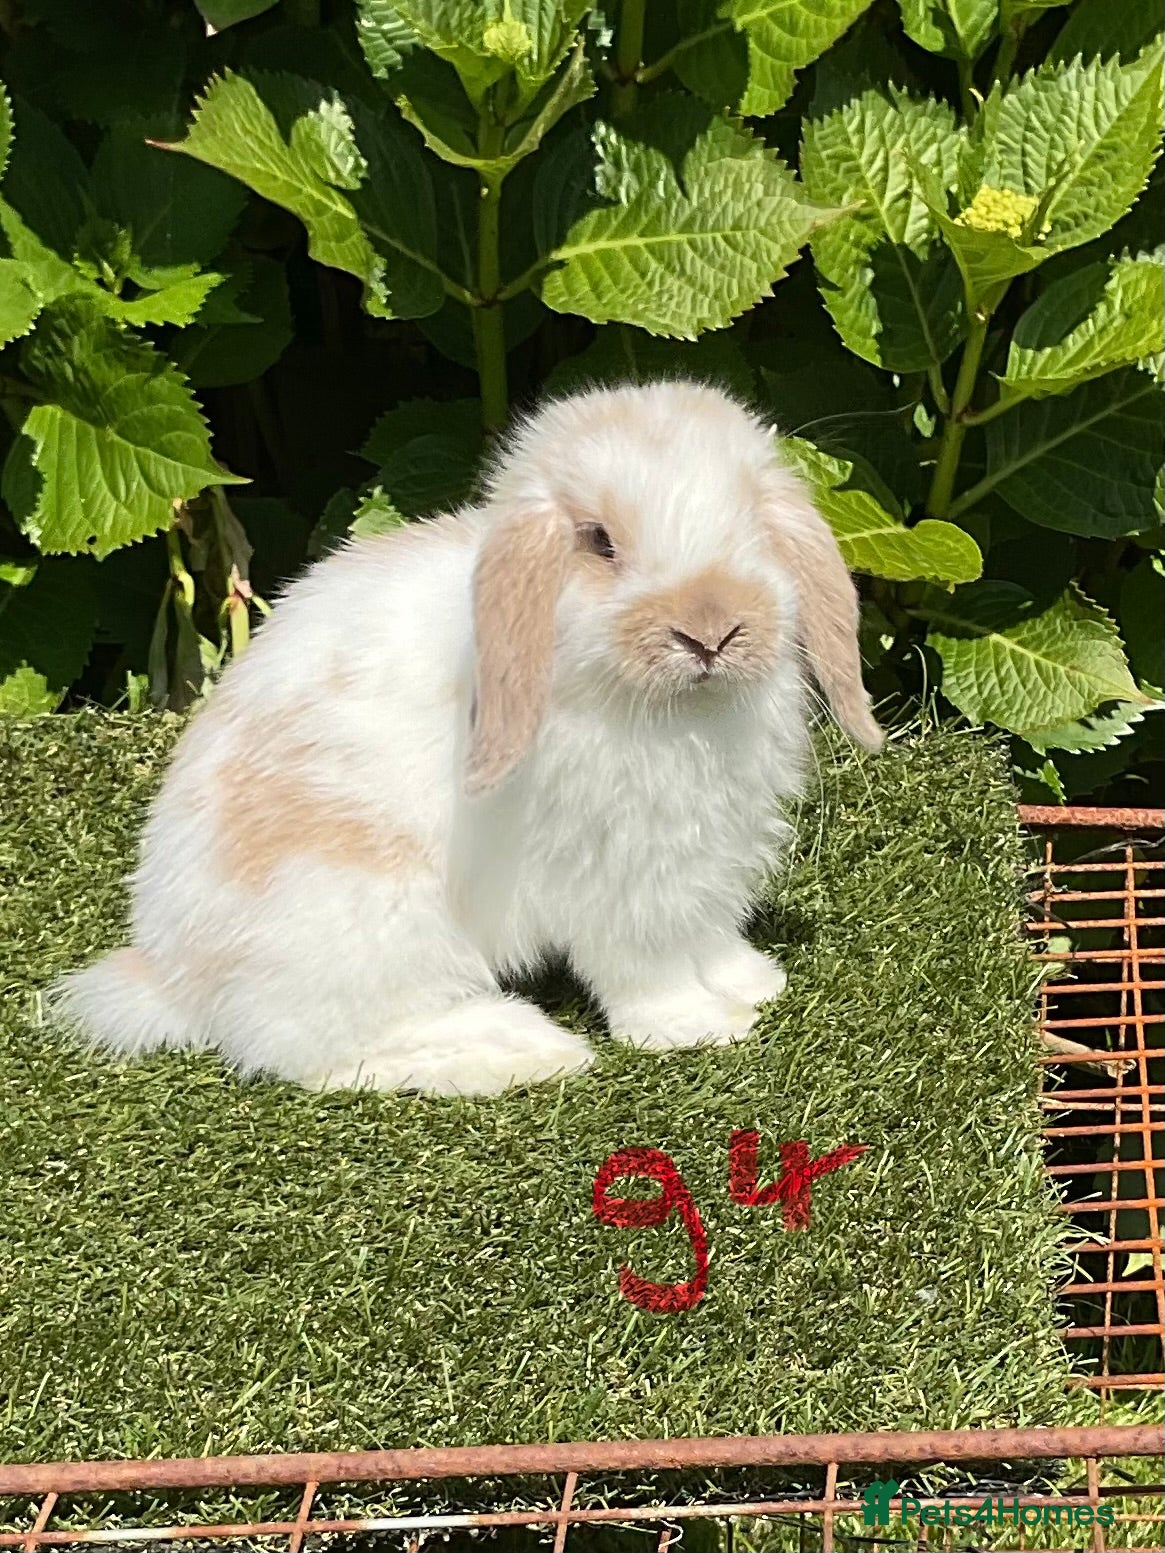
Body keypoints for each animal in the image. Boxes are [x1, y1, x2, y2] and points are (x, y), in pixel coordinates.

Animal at [51, 380, 883, 1095]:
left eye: (753, 523)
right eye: (598, 542)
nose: (710, 630)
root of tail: (175, 976)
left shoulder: (705, 862)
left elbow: (708, 931)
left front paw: (751, 979)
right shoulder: (620, 879)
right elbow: (644, 966)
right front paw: (696, 1025)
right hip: (368, 924)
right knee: (321, 1053)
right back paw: (522, 1047)